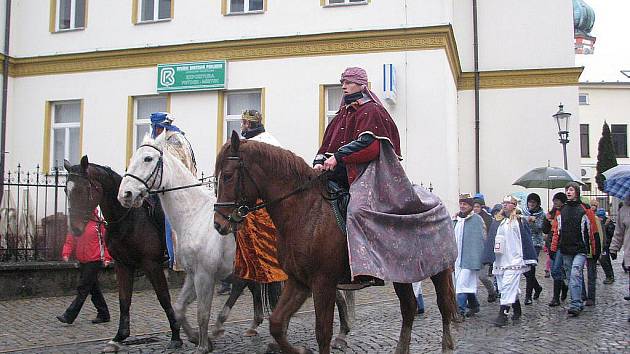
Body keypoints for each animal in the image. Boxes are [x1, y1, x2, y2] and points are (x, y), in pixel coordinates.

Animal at [63, 157, 183, 352]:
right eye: (67, 190)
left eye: (84, 189)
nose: (75, 228)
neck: (128, 219)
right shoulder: (122, 265)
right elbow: (124, 299)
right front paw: (120, 336)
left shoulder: (152, 265)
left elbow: (163, 297)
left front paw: (176, 335)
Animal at [118, 135, 235, 354]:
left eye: (148, 158)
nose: (125, 194)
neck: (196, 213)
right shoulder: (192, 274)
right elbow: (179, 308)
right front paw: (196, 338)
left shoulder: (205, 276)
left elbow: (202, 313)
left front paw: (202, 346)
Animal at [215, 132, 456, 354]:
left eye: (227, 176)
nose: (219, 223)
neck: (305, 212)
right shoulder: (299, 282)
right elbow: (276, 323)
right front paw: (300, 350)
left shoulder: (323, 283)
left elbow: (323, 332)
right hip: (401, 273)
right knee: (408, 307)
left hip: (439, 269)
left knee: (444, 306)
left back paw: (447, 346)